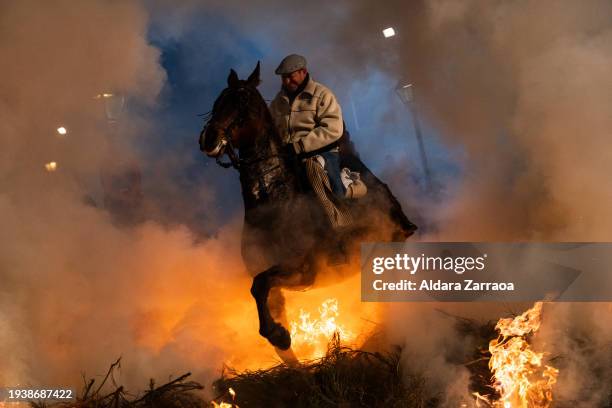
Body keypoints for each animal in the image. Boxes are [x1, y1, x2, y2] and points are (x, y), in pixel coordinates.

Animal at [201, 62, 416, 356]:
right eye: (219, 99)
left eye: (242, 100)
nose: (208, 138)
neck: (274, 202)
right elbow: (261, 294)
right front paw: (281, 337)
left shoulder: (301, 270)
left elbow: (260, 285)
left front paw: (279, 335)